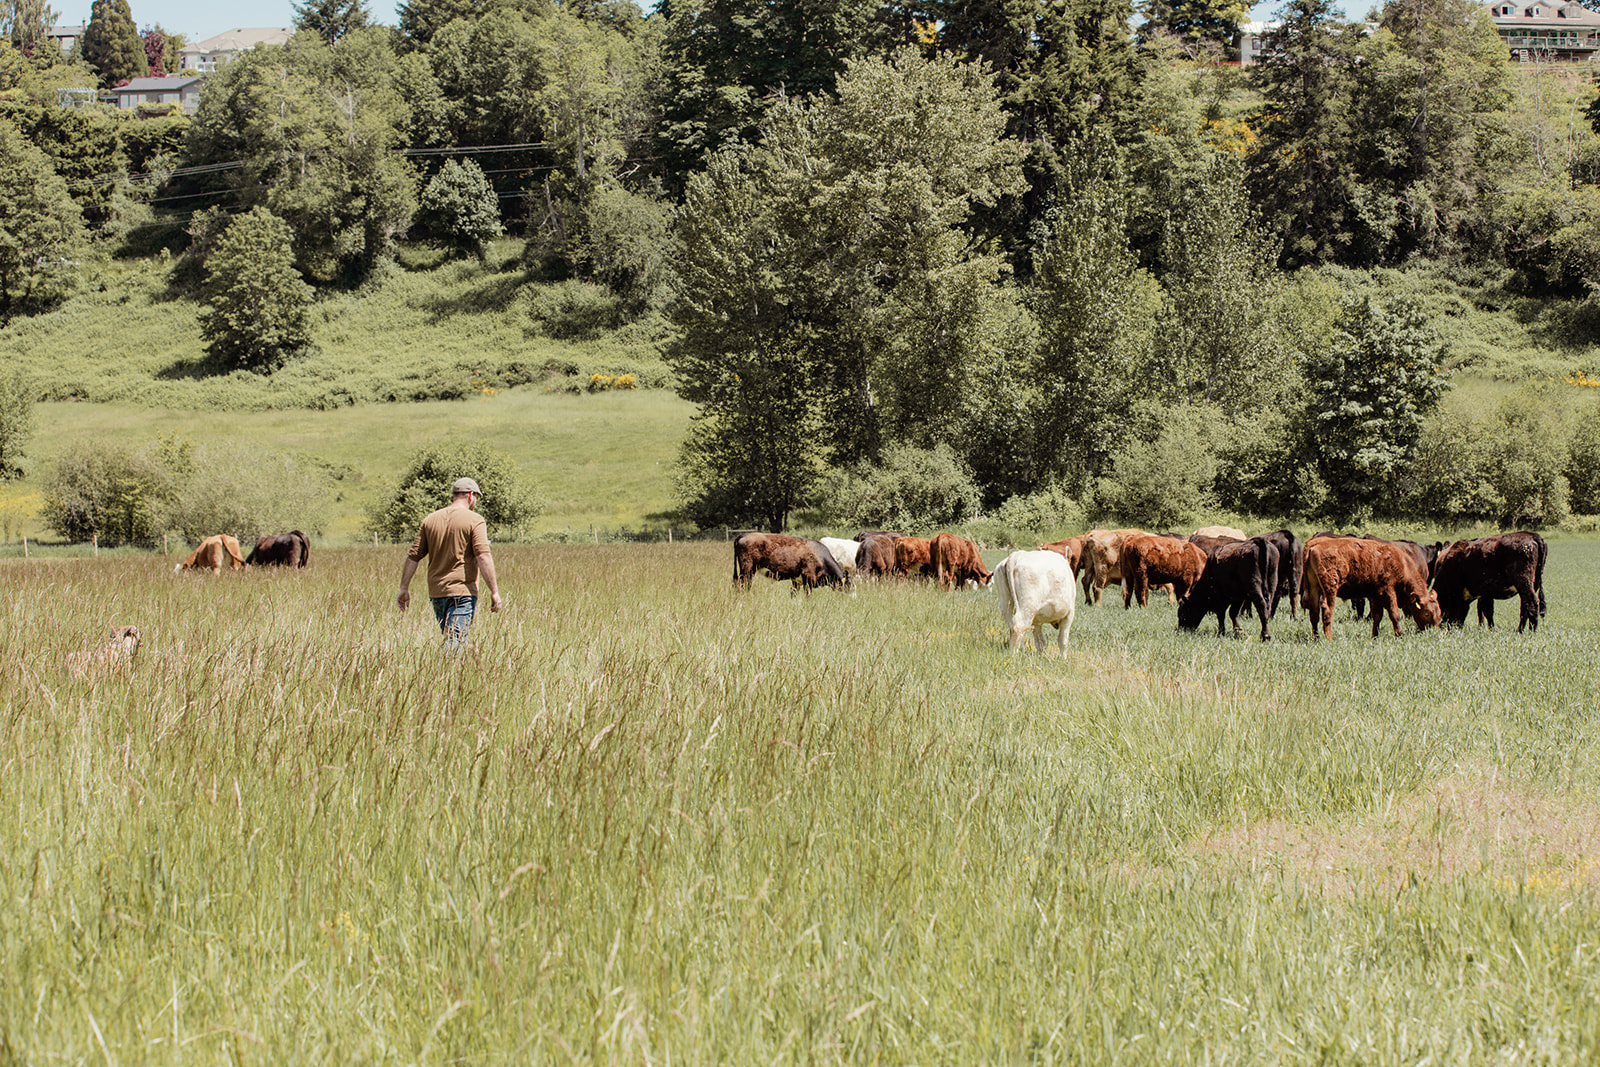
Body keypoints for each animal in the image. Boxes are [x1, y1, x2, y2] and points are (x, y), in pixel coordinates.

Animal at [1299, 537, 1440, 639]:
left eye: (1438, 612)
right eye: (1427, 613)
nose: (1433, 631)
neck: (1402, 564)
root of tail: (1314, 543)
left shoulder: (1375, 595)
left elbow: (1377, 616)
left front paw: (1374, 636)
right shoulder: (1388, 590)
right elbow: (1394, 614)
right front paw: (1399, 635)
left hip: (1314, 587)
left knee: (1314, 612)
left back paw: (1316, 637)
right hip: (1330, 588)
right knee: (1327, 610)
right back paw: (1329, 638)